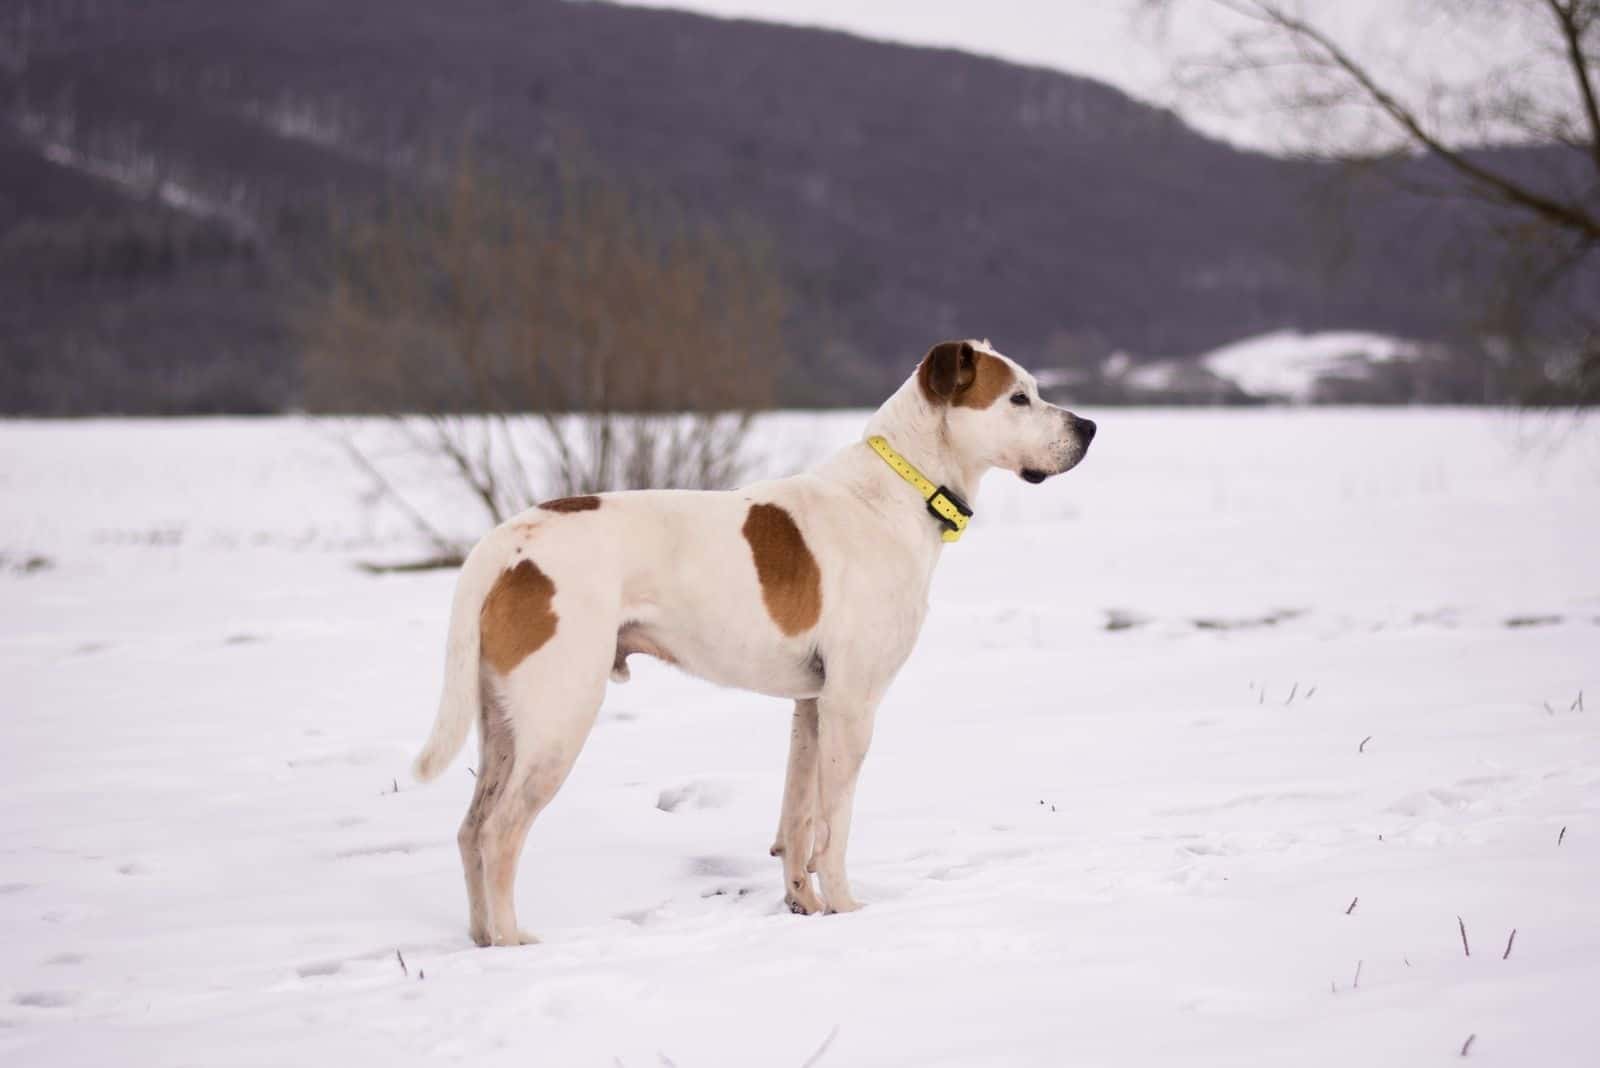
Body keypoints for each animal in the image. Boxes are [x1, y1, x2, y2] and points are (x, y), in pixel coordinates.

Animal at [406, 340, 1094, 940]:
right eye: (1018, 399)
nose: (1088, 427)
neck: (900, 488)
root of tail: (505, 543)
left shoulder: (811, 706)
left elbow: (798, 817)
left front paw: (804, 904)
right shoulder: (851, 705)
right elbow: (834, 824)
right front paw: (846, 908)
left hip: (503, 721)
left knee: (470, 829)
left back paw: (481, 937)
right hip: (558, 717)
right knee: (499, 834)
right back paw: (512, 941)